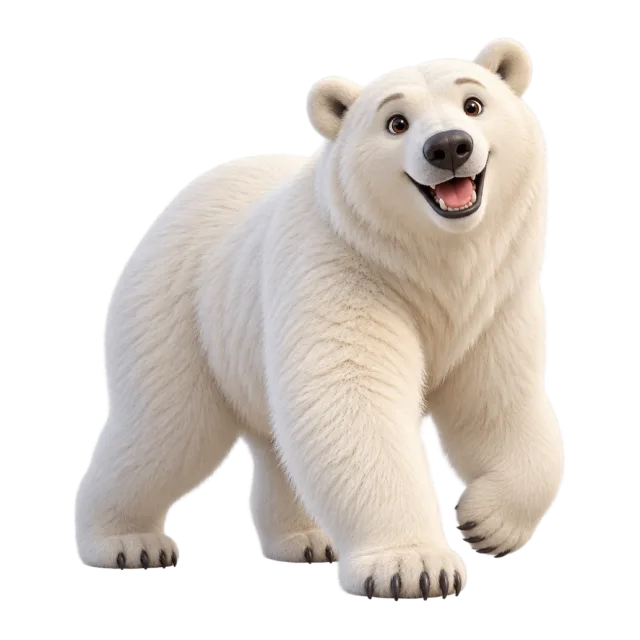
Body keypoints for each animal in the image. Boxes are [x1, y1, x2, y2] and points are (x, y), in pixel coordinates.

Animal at [74, 38, 564, 600]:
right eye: (396, 122)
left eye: (474, 105)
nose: (448, 147)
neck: (434, 265)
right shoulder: (344, 266)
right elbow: (350, 398)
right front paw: (415, 567)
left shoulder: (493, 302)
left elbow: (497, 402)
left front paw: (487, 521)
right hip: (176, 310)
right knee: (164, 431)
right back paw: (128, 543)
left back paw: (307, 541)